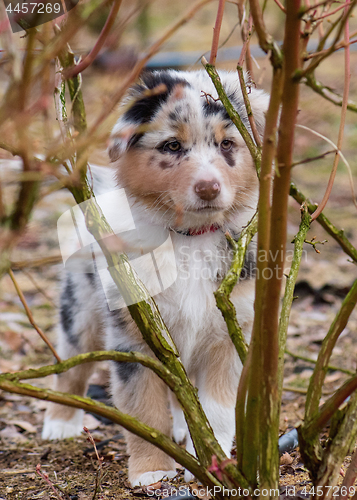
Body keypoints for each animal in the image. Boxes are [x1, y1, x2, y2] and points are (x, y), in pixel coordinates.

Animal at [41, 69, 268, 484]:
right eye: (172, 146)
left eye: (228, 144)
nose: (208, 188)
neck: (190, 237)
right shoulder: (136, 341)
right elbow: (145, 411)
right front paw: (152, 472)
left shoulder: (229, 335)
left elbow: (216, 412)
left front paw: (212, 464)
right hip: (81, 309)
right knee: (72, 362)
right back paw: (60, 422)